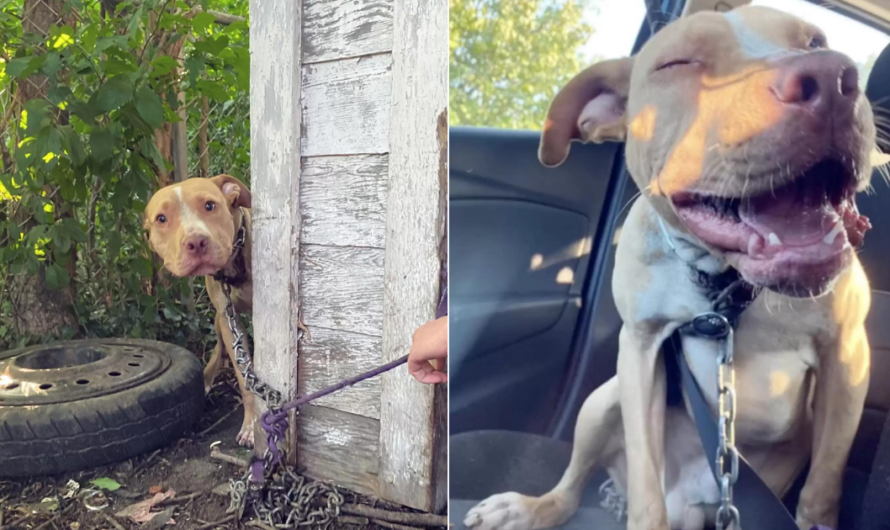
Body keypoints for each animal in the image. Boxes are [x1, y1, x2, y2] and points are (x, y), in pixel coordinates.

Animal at [140, 174, 255, 446]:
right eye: (162, 218)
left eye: (210, 205)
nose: (196, 241)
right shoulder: (228, 318)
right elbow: (244, 377)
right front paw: (253, 424)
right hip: (219, 321)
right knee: (220, 347)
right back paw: (206, 378)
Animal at [464, 5, 880, 528]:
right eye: (677, 64)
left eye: (815, 42)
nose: (832, 75)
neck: (724, 288)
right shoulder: (640, 350)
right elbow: (646, 487)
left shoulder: (847, 356)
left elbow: (823, 485)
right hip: (603, 399)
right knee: (573, 487)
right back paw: (528, 507)